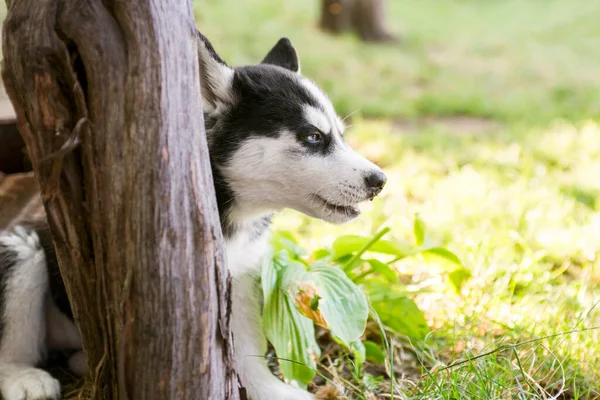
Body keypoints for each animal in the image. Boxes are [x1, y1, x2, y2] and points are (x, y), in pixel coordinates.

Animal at [0, 32, 386, 400]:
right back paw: (25, 377)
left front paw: (268, 390)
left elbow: (249, 346)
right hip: (21, 250)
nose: (379, 181)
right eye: (313, 137)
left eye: (340, 135)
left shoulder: (241, 275)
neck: (230, 207)